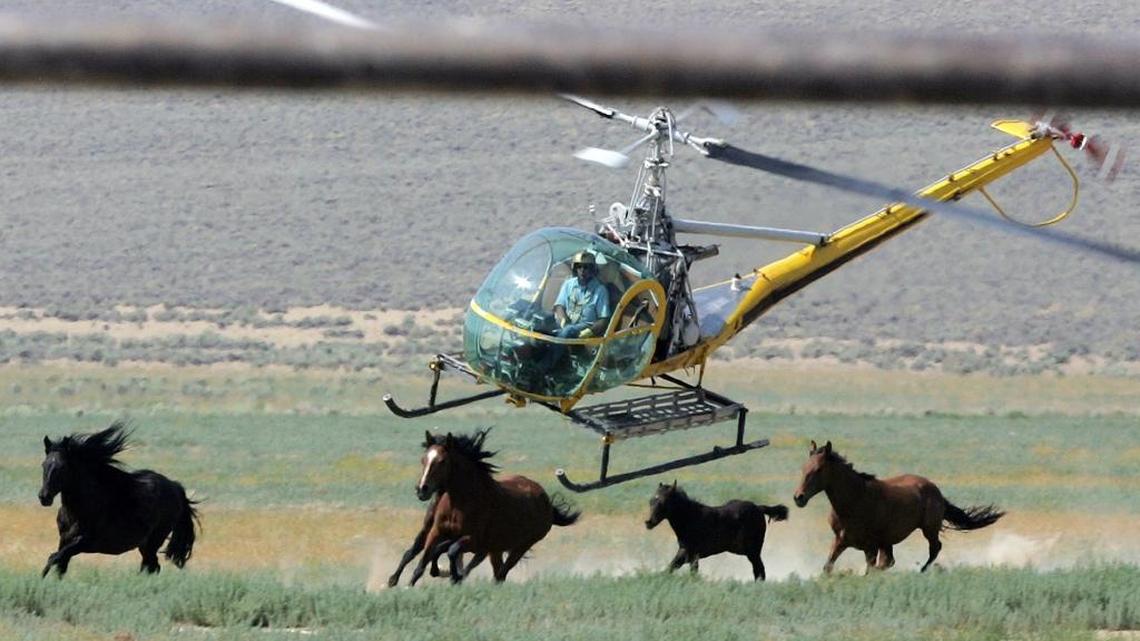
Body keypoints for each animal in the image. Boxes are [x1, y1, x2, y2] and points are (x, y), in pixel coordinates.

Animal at [38, 421, 200, 577]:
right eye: (44, 464)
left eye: (62, 467)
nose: (44, 497)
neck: (78, 510)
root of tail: (175, 486)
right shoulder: (64, 540)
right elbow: (60, 566)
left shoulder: (83, 542)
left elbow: (53, 558)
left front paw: (41, 579)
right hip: (145, 545)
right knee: (151, 566)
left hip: (154, 541)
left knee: (151, 566)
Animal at [410, 428, 580, 584]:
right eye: (423, 459)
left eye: (442, 461)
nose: (421, 489)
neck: (458, 504)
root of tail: (546, 502)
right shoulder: (437, 532)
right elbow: (423, 562)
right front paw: (413, 583)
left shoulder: (473, 540)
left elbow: (451, 551)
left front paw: (453, 575)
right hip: (495, 549)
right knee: (497, 572)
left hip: (521, 546)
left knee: (501, 574)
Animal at [645, 481, 788, 581]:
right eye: (651, 500)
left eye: (663, 501)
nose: (648, 522)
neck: (691, 518)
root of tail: (758, 508)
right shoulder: (690, 555)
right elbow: (676, 569)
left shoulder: (689, 553)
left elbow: (675, 568)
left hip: (753, 551)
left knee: (759, 570)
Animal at [793, 440, 1004, 574]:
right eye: (803, 468)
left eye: (818, 470)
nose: (798, 498)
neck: (854, 500)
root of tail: (936, 490)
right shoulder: (841, 540)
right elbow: (827, 567)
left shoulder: (871, 546)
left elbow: (871, 569)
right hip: (889, 541)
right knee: (892, 560)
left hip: (928, 529)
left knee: (935, 548)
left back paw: (921, 570)